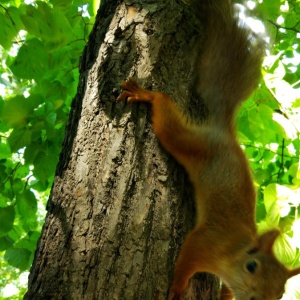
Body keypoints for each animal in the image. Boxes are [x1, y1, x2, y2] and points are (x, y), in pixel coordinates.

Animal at [117, 0, 300, 300]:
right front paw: (177, 289)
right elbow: (186, 260)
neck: (234, 251)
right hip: (190, 142)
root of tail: (224, 131)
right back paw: (147, 95)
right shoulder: (206, 242)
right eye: (252, 266)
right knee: (166, 116)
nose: (255, 298)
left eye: (280, 292)